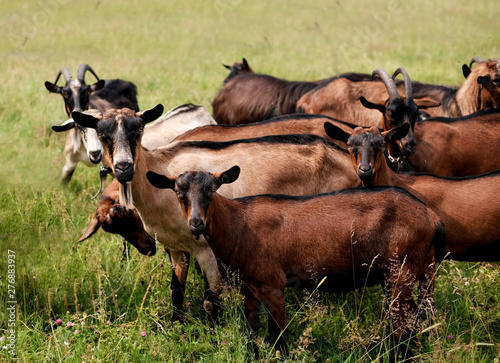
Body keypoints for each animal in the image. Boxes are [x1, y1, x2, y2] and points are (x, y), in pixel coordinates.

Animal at [70, 105, 360, 324]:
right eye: (102, 133)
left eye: (138, 129)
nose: (124, 167)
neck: (160, 173)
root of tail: (348, 158)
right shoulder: (177, 247)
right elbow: (176, 290)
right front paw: (176, 326)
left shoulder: (206, 250)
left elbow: (211, 301)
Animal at [146, 167, 444, 362]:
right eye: (178, 192)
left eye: (212, 189)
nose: (196, 223)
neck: (239, 225)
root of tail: (432, 217)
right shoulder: (249, 288)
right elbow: (252, 333)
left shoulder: (272, 285)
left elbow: (279, 336)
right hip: (418, 270)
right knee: (420, 317)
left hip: (401, 271)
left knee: (403, 327)